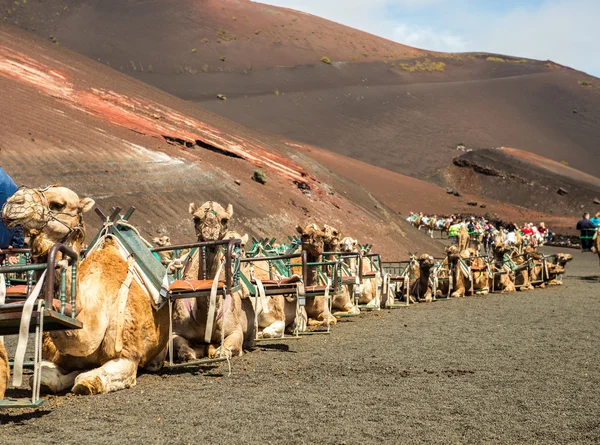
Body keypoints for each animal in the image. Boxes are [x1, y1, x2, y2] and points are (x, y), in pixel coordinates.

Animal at [2, 186, 171, 394]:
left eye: (58, 204)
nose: (13, 201)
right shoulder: (54, 355)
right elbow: (41, 379)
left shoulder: (127, 356)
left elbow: (87, 379)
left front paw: (83, 379)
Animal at [171, 201, 253, 360]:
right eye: (196, 218)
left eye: (225, 220)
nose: (210, 231)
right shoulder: (176, 331)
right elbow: (182, 347)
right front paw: (191, 353)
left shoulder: (235, 329)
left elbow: (228, 346)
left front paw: (218, 351)